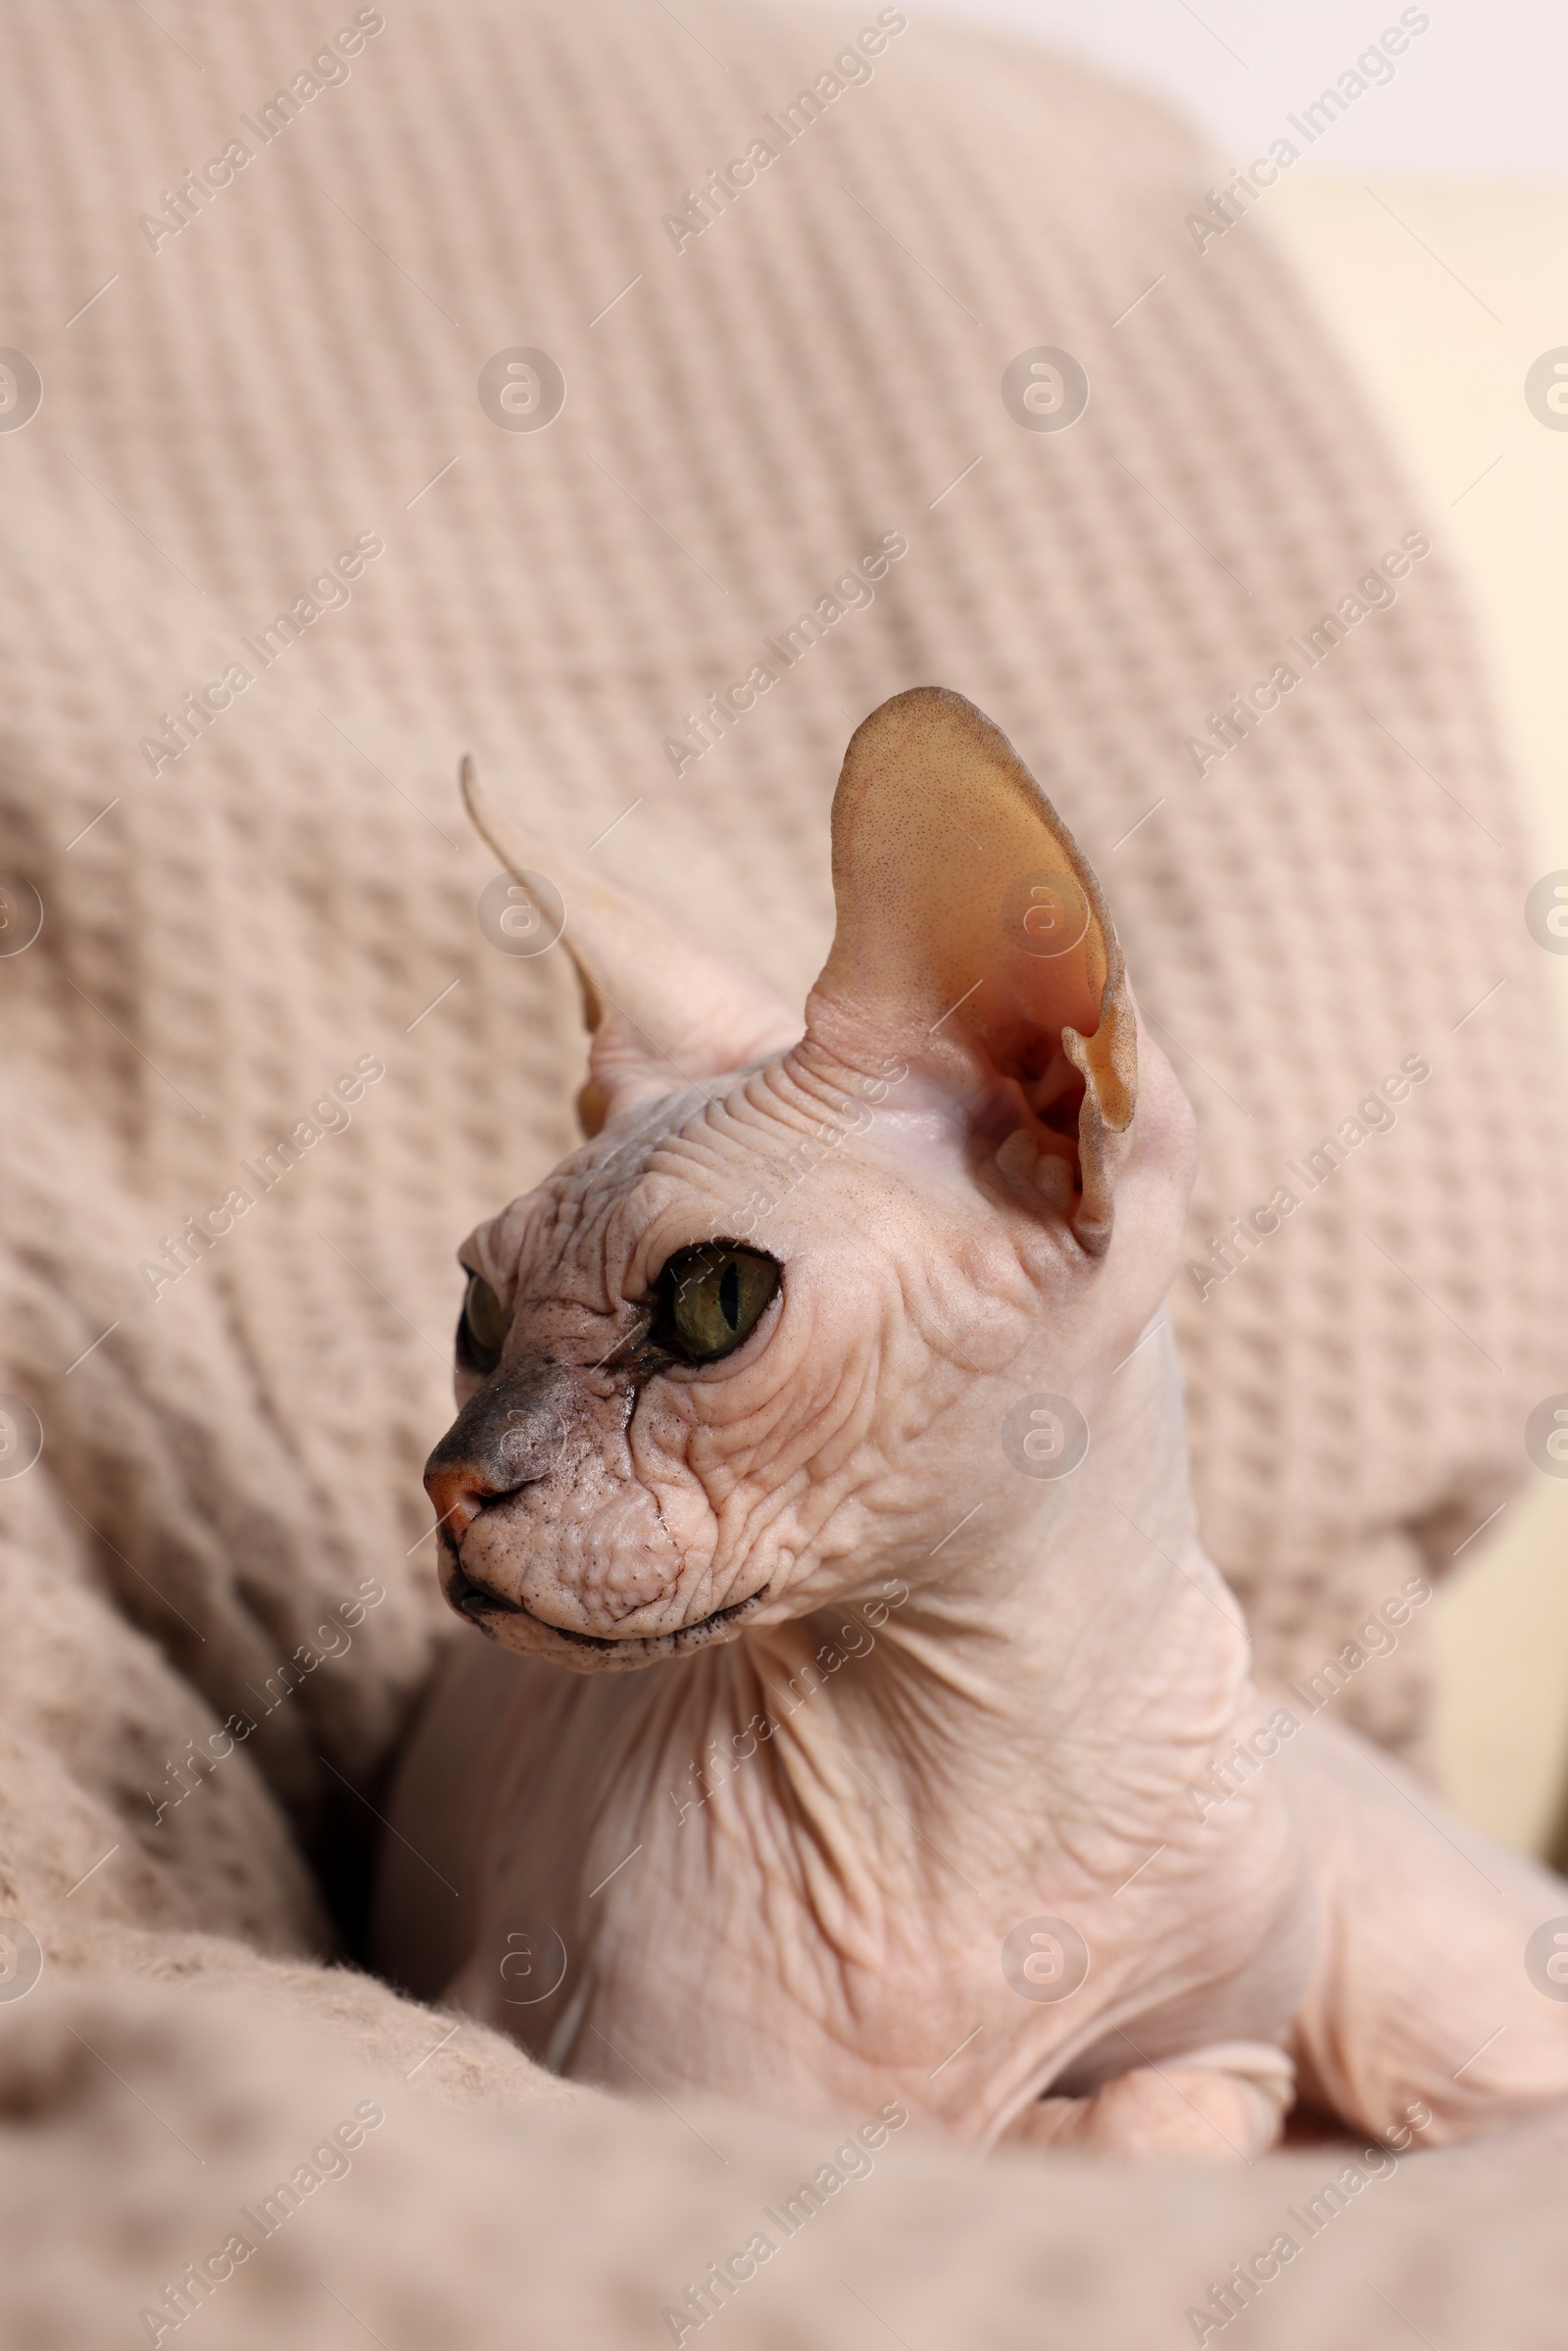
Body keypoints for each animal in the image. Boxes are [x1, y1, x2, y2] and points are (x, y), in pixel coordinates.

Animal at [375, 686, 1568, 2153]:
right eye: (477, 1315)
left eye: (716, 1301)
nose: (450, 1483)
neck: (986, 1741)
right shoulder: (642, 2079)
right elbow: (984, 2125)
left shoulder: (1237, 2055)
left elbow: (1142, 2115)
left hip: (1407, 2009)